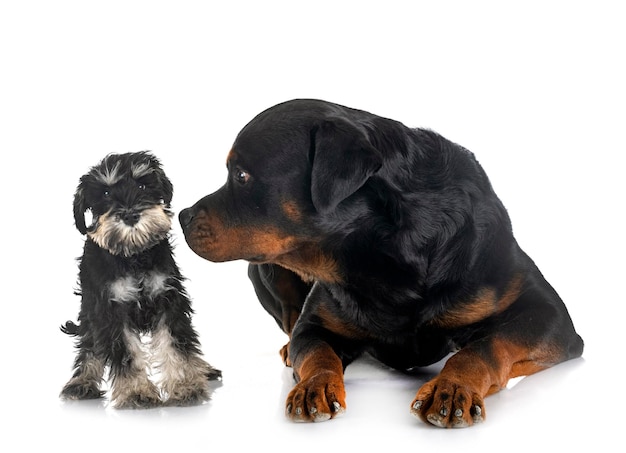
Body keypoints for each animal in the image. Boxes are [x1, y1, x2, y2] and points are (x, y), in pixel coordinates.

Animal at [59, 150, 219, 408]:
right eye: (106, 193)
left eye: (143, 185)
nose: (131, 215)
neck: (134, 256)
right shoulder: (111, 310)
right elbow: (127, 353)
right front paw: (137, 392)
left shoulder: (168, 299)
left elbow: (176, 345)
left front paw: (185, 386)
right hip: (90, 310)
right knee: (90, 346)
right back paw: (81, 382)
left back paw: (204, 369)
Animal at [178, 100, 584, 428]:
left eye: (241, 175)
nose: (182, 215)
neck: (382, 252)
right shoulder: (315, 322)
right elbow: (316, 350)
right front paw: (313, 384)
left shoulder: (549, 315)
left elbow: (486, 346)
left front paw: (452, 387)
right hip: (264, 271)